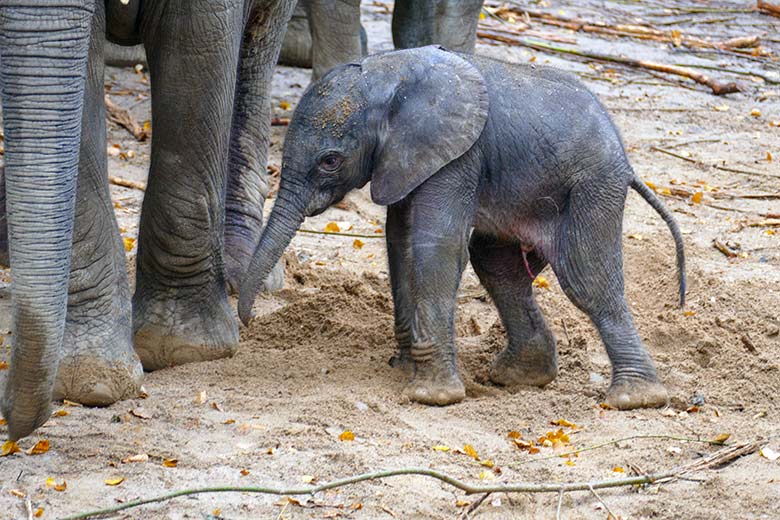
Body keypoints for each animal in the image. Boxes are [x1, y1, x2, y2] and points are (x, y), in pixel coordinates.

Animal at [238, 44, 684, 410]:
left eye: (330, 161)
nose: (246, 322)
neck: (389, 73)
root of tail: (626, 159)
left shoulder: (457, 156)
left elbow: (435, 244)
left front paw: (430, 396)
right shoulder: (408, 159)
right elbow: (400, 241)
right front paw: (404, 368)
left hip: (594, 186)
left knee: (585, 277)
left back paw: (635, 400)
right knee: (498, 266)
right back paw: (519, 377)